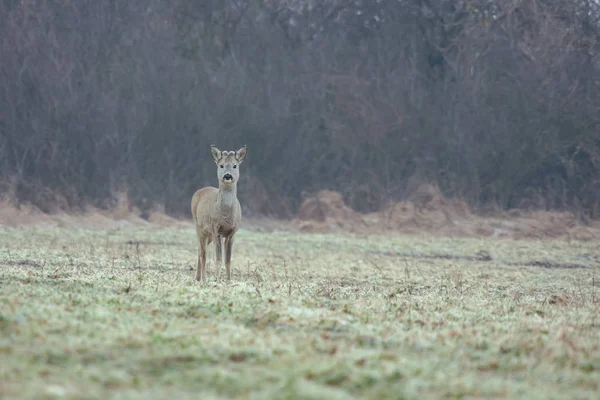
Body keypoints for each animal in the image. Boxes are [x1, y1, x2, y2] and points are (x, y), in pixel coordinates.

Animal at [192, 145, 248, 282]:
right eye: (221, 165)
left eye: (235, 165)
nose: (227, 175)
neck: (226, 216)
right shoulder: (216, 229)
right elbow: (218, 259)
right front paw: (217, 279)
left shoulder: (232, 233)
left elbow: (228, 260)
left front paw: (229, 280)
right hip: (199, 227)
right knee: (203, 253)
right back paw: (204, 279)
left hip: (208, 235)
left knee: (199, 250)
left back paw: (198, 277)